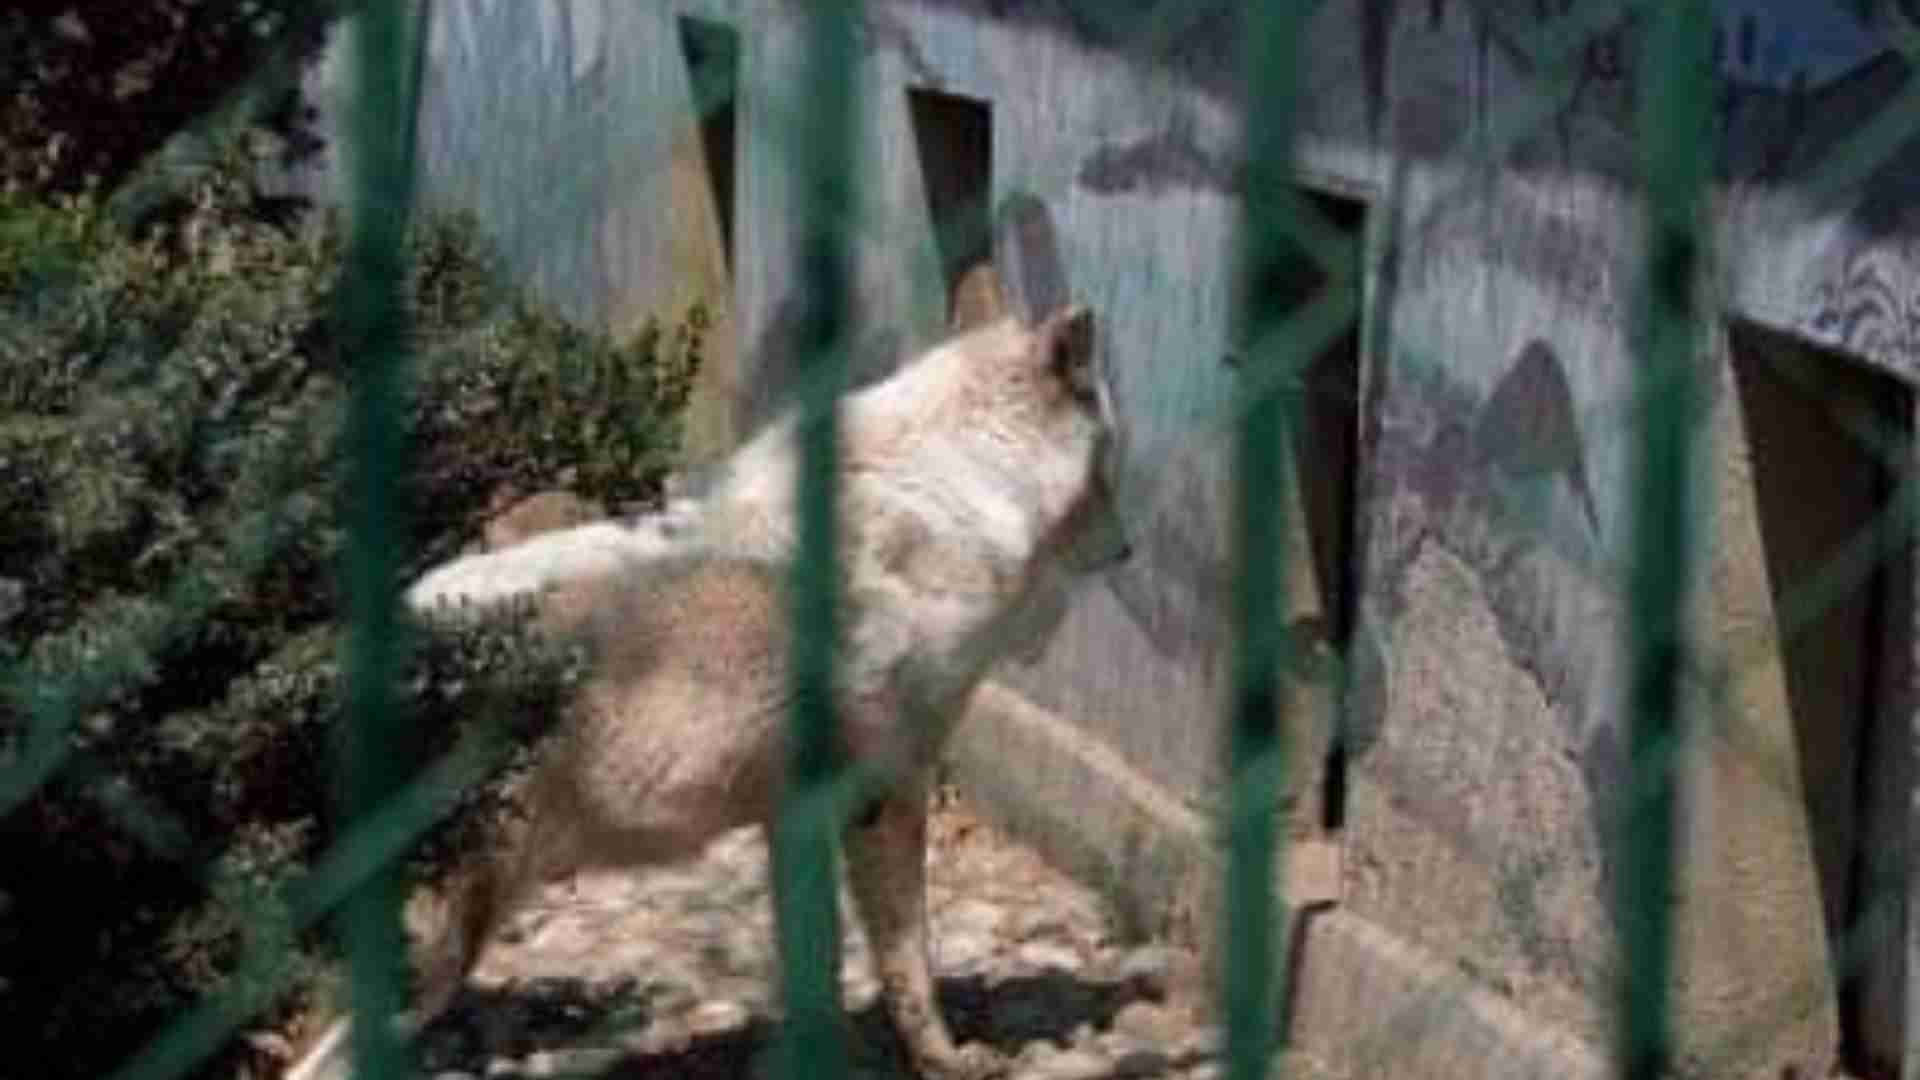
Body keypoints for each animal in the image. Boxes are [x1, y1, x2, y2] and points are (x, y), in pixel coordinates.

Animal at [289, 304, 1129, 1080]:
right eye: (1113, 458)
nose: (1127, 548)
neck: (956, 494)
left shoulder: (792, 817)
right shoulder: (883, 796)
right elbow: (909, 962)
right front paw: (943, 1061)